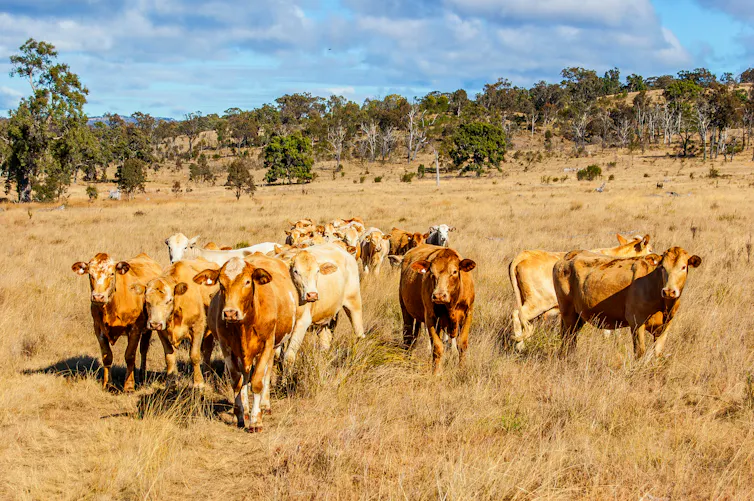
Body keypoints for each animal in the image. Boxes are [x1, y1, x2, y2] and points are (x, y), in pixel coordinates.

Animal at [71, 253, 162, 391]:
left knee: (143, 349)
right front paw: (107, 384)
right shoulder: (98, 329)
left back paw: (142, 376)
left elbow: (129, 356)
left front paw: (129, 386)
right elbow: (107, 356)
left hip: (148, 328)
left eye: (112, 273)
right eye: (90, 274)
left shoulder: (135, 329)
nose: (98, 297)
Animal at [133, 259, 219, 388]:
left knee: (207, 350)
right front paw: (170, 381)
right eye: (147, 301)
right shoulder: (162, 333)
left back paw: (207, 374)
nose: (154, 324)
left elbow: (194, 355)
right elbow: (169, 358)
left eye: (169, 300)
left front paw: (198, 382)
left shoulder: (198, 326)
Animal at [193, 254, 299, 432]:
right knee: (245, 375)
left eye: (247, 282)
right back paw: (247, 409)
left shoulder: (267, 345)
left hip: (274, 346)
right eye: (221, 283)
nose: (230, 313)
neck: (245, 323)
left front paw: (256, 421)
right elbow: (237, 381)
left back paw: (264, 404)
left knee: (266, 373)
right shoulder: (227, 347)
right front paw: (241, 414)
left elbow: (257, 381)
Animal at [399, 244, 476, 375]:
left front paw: (462, 369)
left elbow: (462, 344)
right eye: (431, 273)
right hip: (405, 309)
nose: (439, 295)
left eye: (454, 272)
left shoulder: (468, 314)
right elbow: (437, 346)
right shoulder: (430, 317)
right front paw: (437, 372)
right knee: (408, 337)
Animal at [553, 247, 701, 359]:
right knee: (568, 339)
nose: (669, 291)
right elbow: (640, 352)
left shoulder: (666, 325)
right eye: (663, 267)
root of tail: (569, 255)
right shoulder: (636, 322)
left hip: (579, 316)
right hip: (568, 313)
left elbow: (658, 353)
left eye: (683, 267)